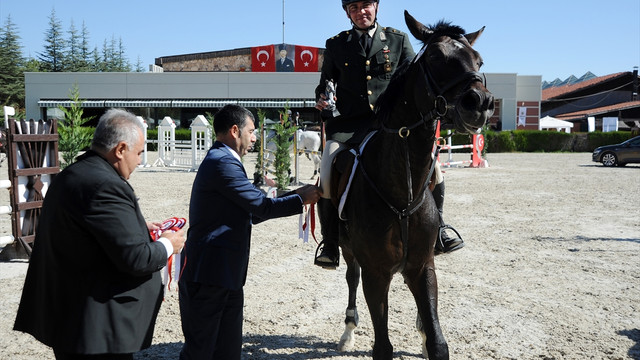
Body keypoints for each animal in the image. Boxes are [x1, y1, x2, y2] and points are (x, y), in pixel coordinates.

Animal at [330, 11, 496, 360]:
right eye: (434, 57)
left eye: (478, 59)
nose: (480, 102)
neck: (401, 193)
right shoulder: (377, 274)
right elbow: (382, 345)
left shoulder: (422, 267)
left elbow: (437, 341)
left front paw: (426, 336)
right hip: (349, 251)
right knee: (351, 277)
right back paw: (348, 331)